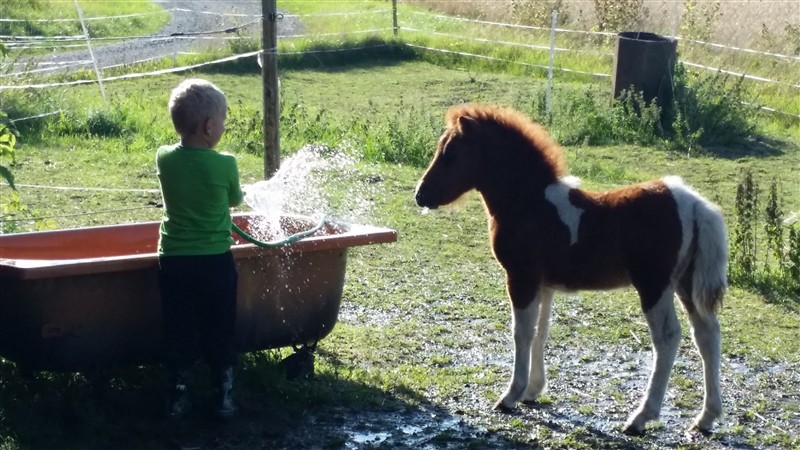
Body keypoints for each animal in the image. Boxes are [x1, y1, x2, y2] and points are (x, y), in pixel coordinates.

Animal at [416, 103, 728, 434]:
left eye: (450, 153)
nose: (420, 194)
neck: (530, 202)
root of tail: (691, 202)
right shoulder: (543, 284)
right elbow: (540, 332)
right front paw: (533, 391)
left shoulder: (521, 278)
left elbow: (521, 333)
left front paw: (511, 395)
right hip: (685, 283)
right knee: (706, 335)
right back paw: (706, 417)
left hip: (654, 285)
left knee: (668, 338)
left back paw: (641, 417)